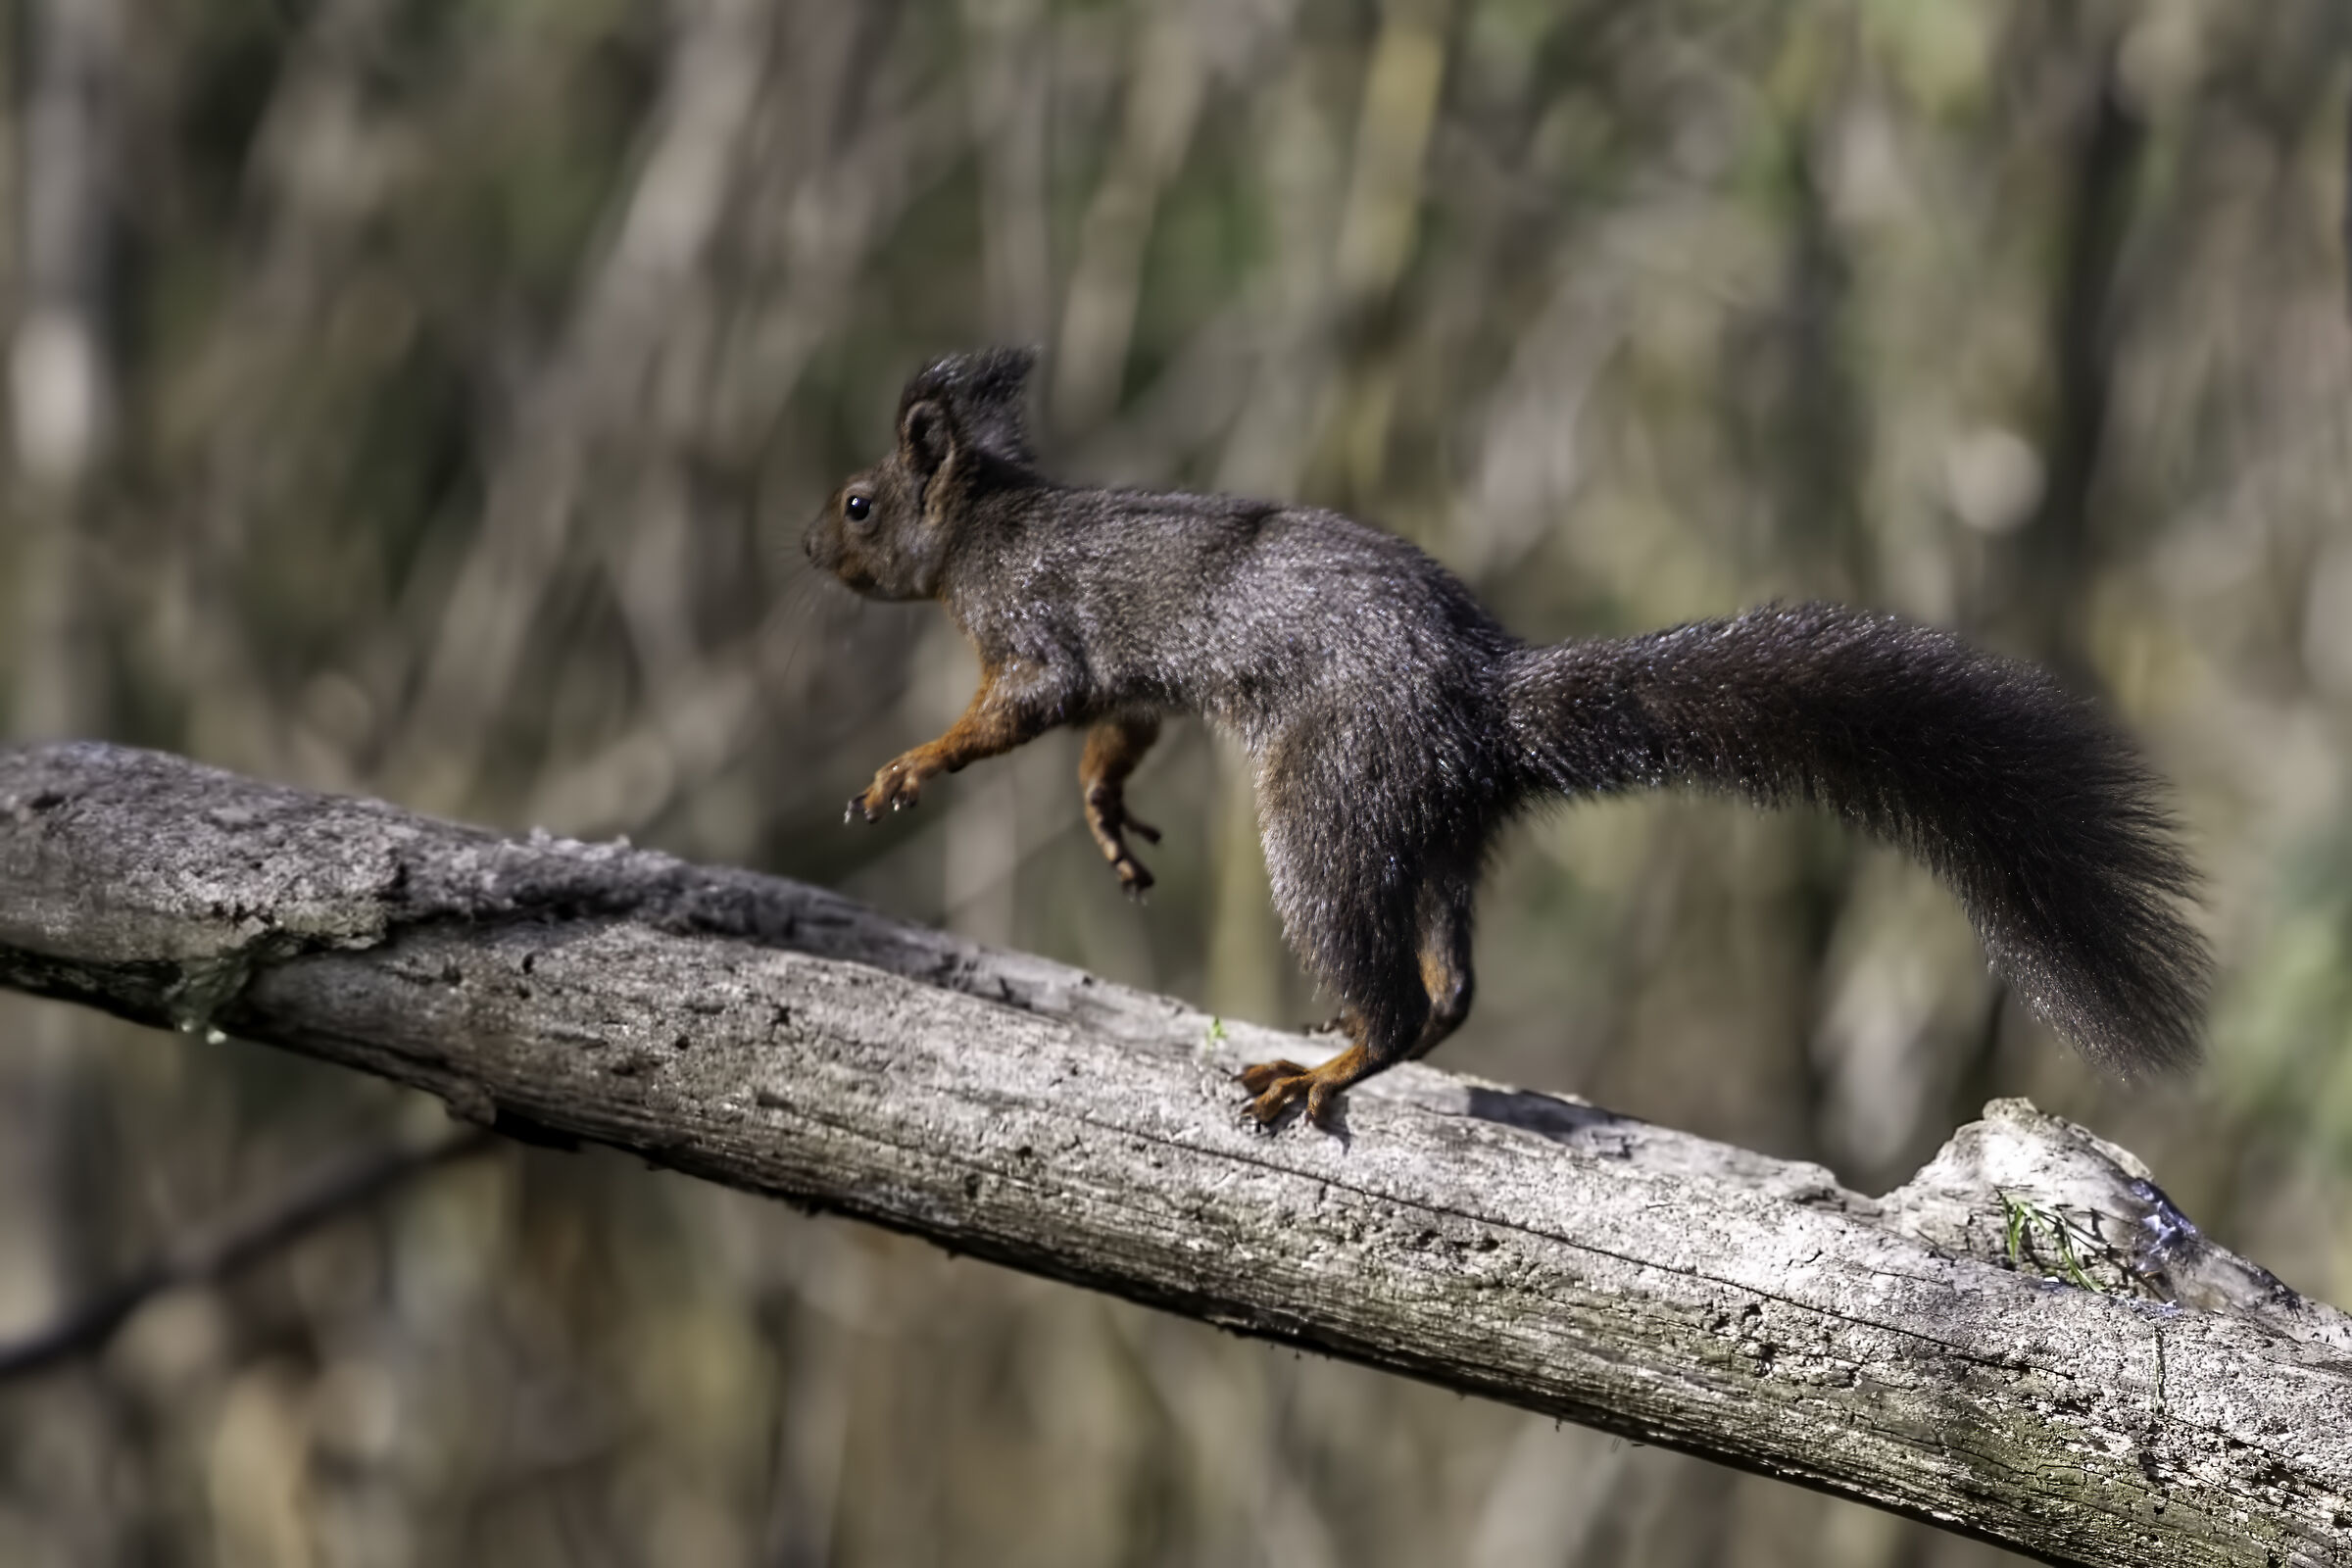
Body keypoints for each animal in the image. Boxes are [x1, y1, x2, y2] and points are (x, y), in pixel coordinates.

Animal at [805, 347, 2209, 1127]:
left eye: (860, 502)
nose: (807, 546)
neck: (986, 523)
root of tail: (1481, 700)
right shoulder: (1125, 685)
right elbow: (1117, 732)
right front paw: (1107, 821)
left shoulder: (1035, 628)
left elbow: (1023, 709)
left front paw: (905, 769)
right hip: (1436, 828)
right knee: (1451, 989)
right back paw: (1375, 1039)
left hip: (1327, 802)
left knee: (1393, 988)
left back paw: (1327, 1065)